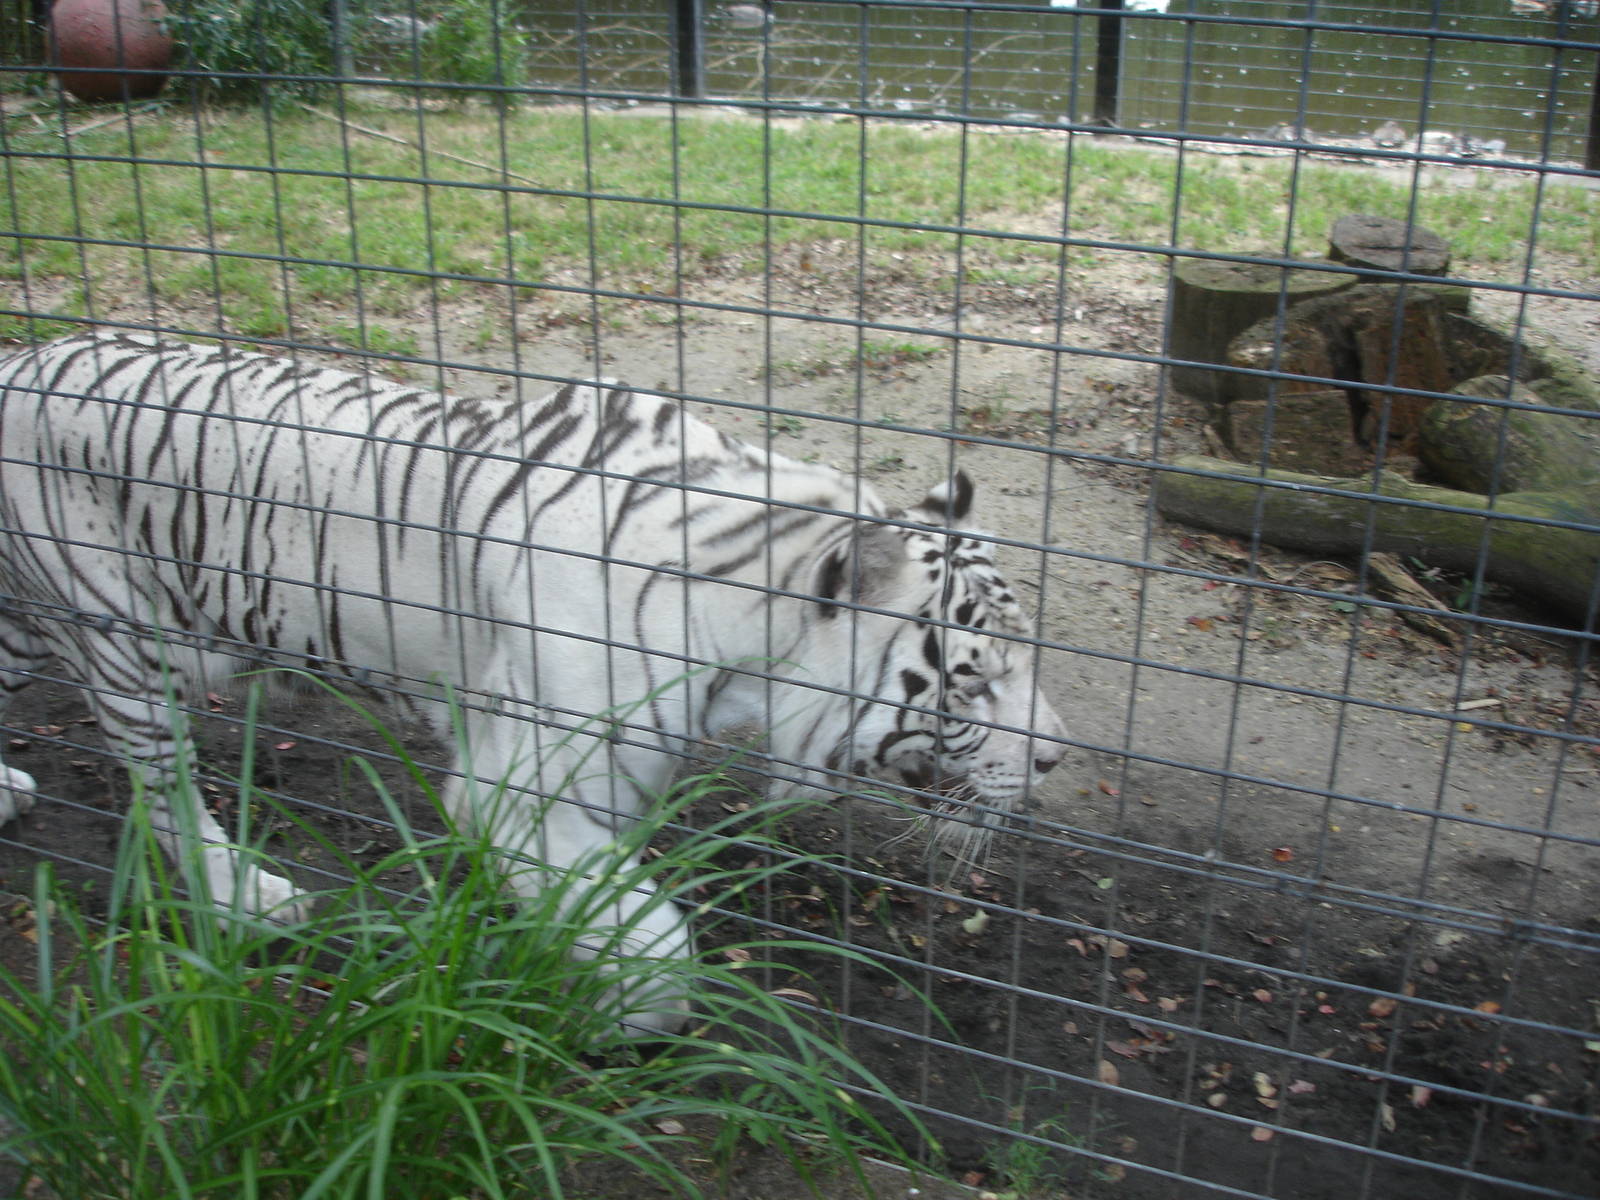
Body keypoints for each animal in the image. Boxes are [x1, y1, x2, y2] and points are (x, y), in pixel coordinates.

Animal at [0, 329, 1066, 1030]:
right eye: (971, 679)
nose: (1058, 760)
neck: (743, 656)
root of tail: (23, 357)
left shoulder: (614, 786)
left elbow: (603, 903)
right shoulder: (514, 786)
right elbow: (657, 948)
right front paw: (616, 1016)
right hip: (125, 639)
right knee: (165, 786)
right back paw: (246, 898)